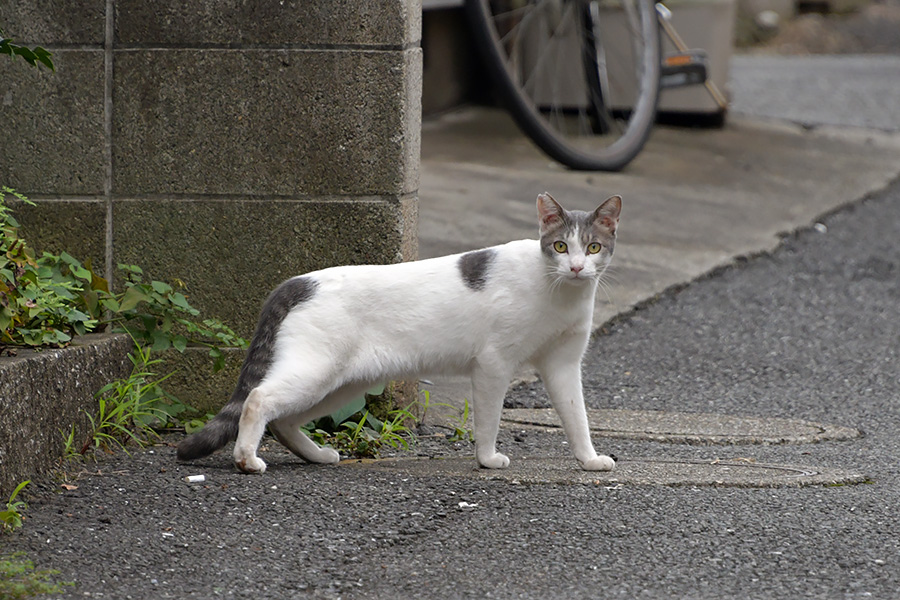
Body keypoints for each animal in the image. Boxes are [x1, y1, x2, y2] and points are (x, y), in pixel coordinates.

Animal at [178, 192, 624, 474]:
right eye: (561, 247)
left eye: (594, 248)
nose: (577, 268)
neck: (560, 292)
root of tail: (297, 281)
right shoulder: (494, 364)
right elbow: (489, 421)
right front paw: (487, 459)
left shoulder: (563, 365)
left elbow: (577, 418)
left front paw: (588, 460)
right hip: (316, 372)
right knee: (258, 400)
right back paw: (246, 461)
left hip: (340, 384)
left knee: (284, 421)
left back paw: (317, 456)